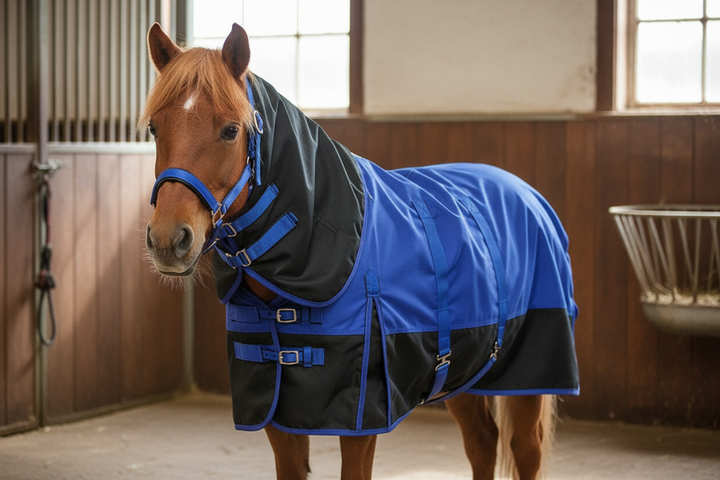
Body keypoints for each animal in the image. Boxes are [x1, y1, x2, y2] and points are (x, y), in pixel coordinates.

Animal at [142, 22, 579, 480]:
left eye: (230, 130)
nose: (168, 240)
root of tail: (529, 196)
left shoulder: (361, 418)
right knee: (482, 441)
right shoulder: (276, 414)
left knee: (525, 449)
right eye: (155, 128)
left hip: (531, 369)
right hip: (464, 367)